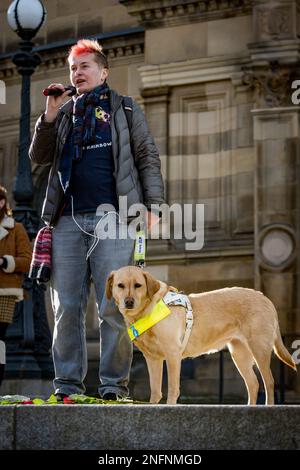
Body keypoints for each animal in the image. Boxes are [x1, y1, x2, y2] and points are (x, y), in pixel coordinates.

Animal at [105, 266, 296, 406]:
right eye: (120, 285)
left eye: (138, 285)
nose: (129, 302)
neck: (147, 309)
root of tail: (265, 298)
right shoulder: (152, 358)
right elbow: (155, 390)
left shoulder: (172, 354)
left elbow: (173, 387)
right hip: (239, 353)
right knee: (253, 383)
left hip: (259, 348)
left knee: (269, 382)